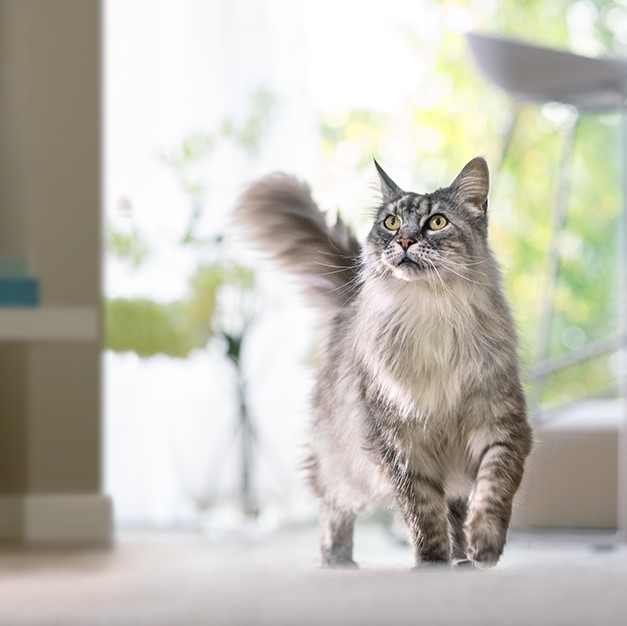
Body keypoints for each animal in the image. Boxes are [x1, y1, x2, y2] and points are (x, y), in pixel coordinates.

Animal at [236, 156, 536, 564]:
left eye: (436, 222)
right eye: (391, 222)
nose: (405, 241)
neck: (430, 315)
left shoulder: (501, 426)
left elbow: (492, 489)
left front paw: (483, 545)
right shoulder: (399, 445)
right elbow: (425, 516)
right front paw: (433, 564)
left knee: (456, 506)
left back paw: (462, 558)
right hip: (349, 470)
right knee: (332, 506)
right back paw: (338, 560)